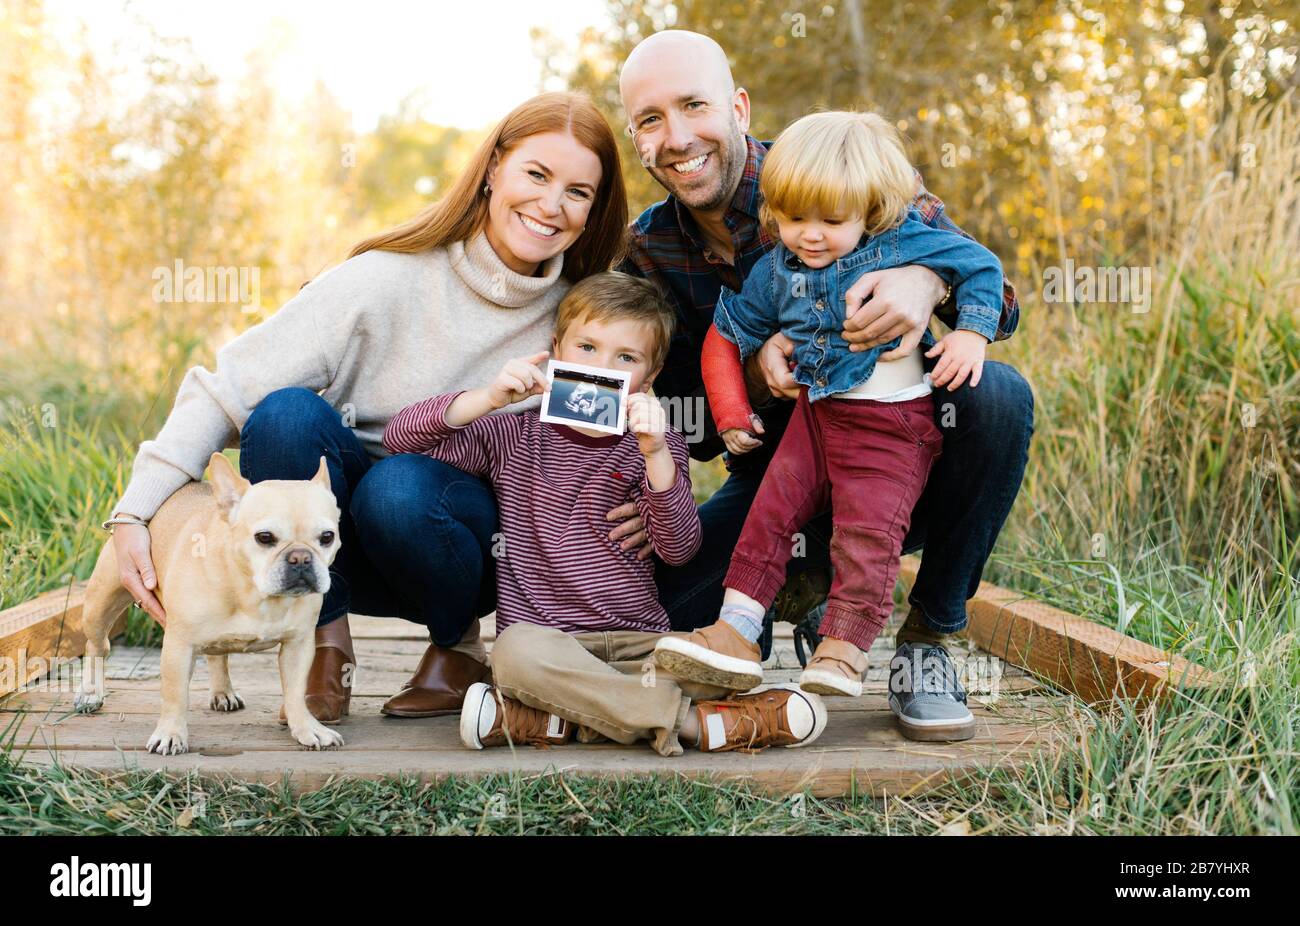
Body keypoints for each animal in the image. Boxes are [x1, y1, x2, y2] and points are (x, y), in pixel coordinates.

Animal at [76, 452, 345, 754]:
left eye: (327, 537)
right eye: (264, 537)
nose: (301, 558)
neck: (254, 592)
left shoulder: (297, 645)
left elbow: (296, 692)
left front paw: (307, 728)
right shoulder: (179, 646)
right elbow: (175, 695)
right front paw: (171, 733)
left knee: (217, 653)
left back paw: (222, 691)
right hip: (101, 603)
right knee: (97, 645)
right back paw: (90, 693)